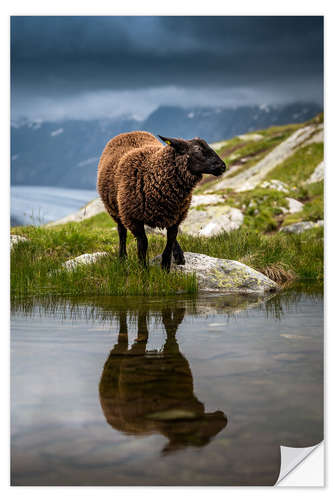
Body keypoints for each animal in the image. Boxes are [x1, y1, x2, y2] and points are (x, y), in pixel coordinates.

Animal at [96, 129, 226, 270]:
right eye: (197, 149)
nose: (223, 166)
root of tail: (129, 133)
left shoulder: (176, 216)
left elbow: (170, 241)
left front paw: (165, 267)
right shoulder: (133, 218)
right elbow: (143, 244)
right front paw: (143, 269)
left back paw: (179, 255)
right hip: (115, 209)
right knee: (121, 232)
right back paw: (122, 257)